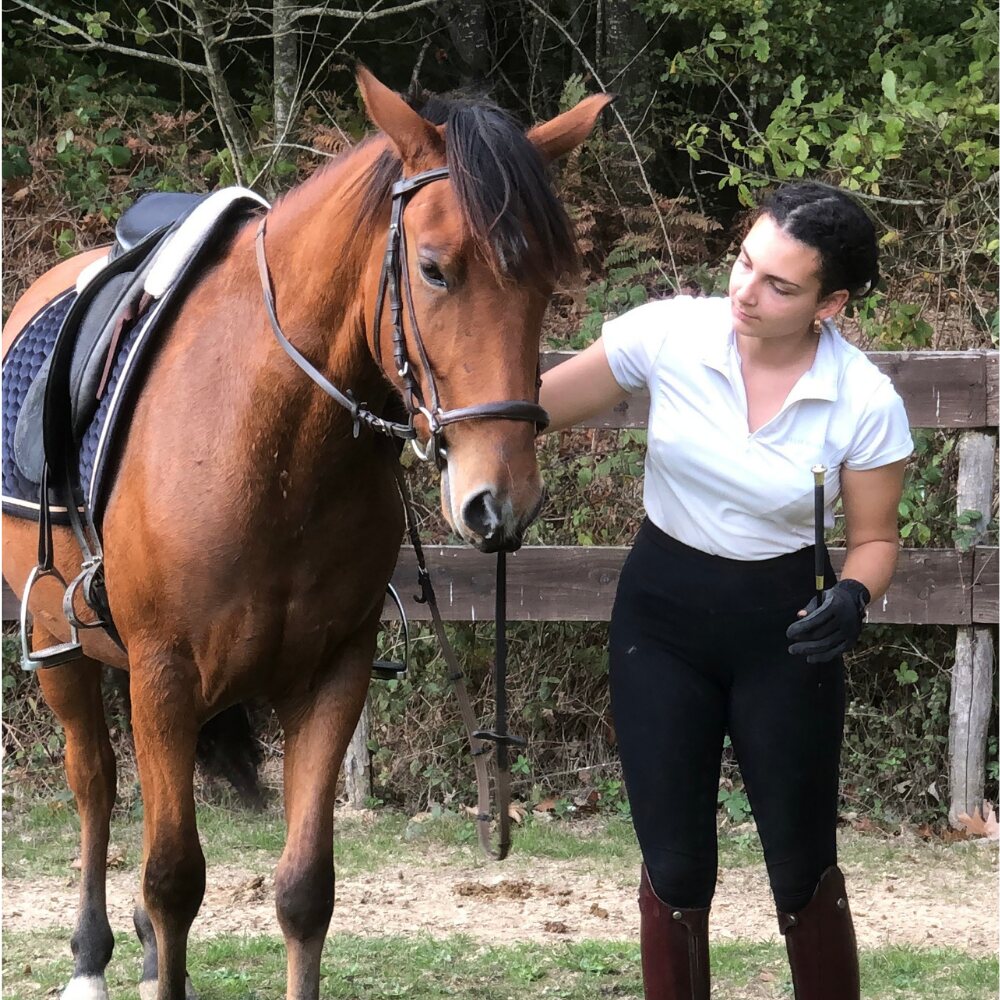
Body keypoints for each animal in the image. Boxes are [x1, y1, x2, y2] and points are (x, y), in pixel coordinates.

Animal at [1, 67, 610, 1000]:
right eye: (433, 270)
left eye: (546, 285)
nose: (498, 501)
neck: (274, 444)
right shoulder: (165, 675)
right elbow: (174, 879)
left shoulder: (333, 676)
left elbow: (303, 891)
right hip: (59, 645)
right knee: (96, 784)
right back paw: (92, 958)